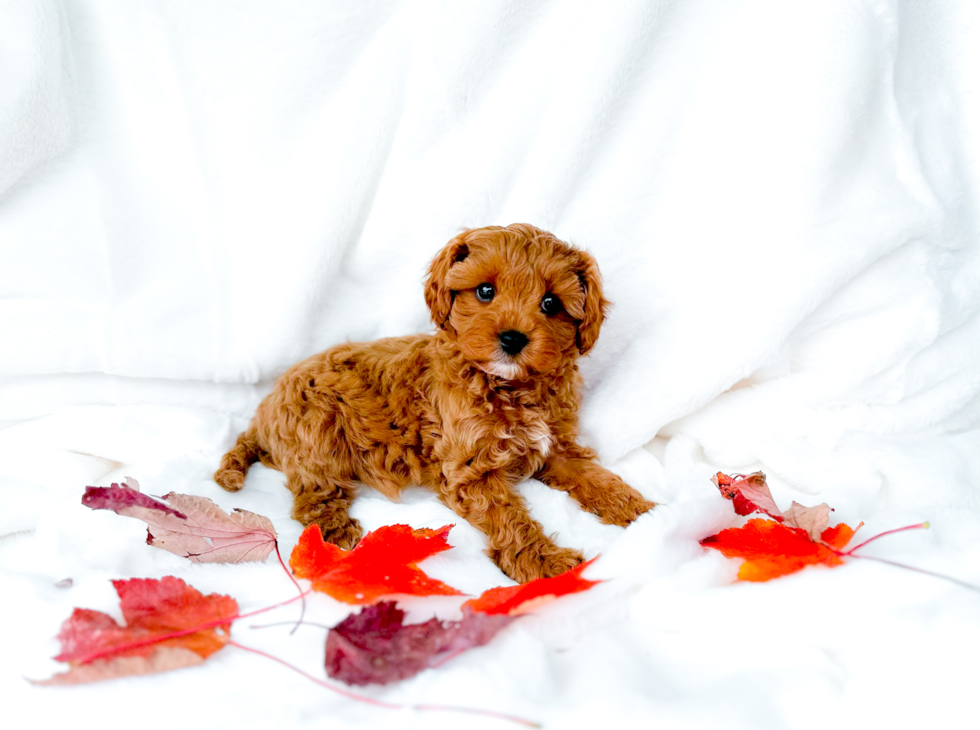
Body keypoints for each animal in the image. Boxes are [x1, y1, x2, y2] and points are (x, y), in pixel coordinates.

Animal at [218, 222, 656, 580]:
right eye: (485, 291)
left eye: (551, 303)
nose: (513, 339)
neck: (509, 386)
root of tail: (262, 415)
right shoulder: (469, 471)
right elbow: (509, 518)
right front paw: (545, 561)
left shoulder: (557, 446)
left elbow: (599, 479)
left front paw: (648, 515)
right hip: (318, 429)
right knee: (314, 496)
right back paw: (336, 534)